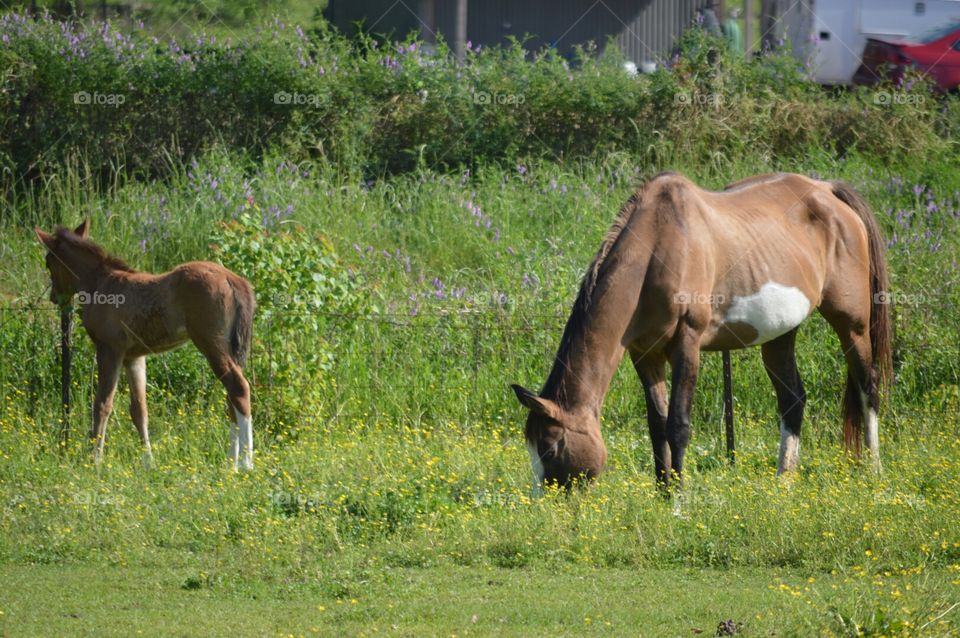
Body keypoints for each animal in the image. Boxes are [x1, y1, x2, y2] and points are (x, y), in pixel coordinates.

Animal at [36, 220, 256, 470]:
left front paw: (94, 459)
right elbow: (139, 410)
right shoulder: (134, 357)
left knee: (239, 389)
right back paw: (232, 464)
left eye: (48, 262)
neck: (99, 284)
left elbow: (102, 404)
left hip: (212, 344)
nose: (55, 298)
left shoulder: (109, 349)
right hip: (231, 348)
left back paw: (244, 464)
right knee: (231, 397)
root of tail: (235, 280)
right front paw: (149, 462)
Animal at [512, 172, 896, 492]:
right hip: (780, 334)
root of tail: (827, 191)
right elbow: (657, 426)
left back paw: (873, 470)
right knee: (792, 400)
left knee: (868, 387)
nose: (544, 503)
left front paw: (679, 502)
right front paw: (663, 493)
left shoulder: (687, 343)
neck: (658, 247)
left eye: (550, 447)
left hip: (853, 324)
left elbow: (678, 425)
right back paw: (783, 481)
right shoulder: (645, 354)